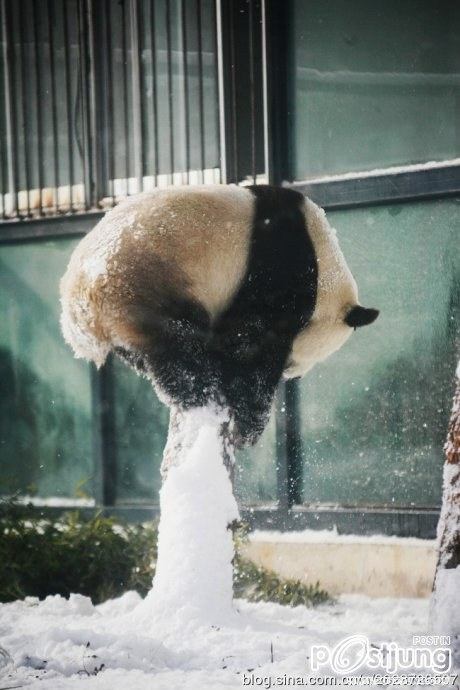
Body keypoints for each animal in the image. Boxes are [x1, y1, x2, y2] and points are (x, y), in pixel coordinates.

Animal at [60, 184, 378, 445]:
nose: (293, 374)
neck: (323, 267)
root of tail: (78, 309)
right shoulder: (277, 274)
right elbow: (248, 346)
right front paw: (249, 426)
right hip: (144, 285)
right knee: (178, 346)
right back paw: (200, 390)